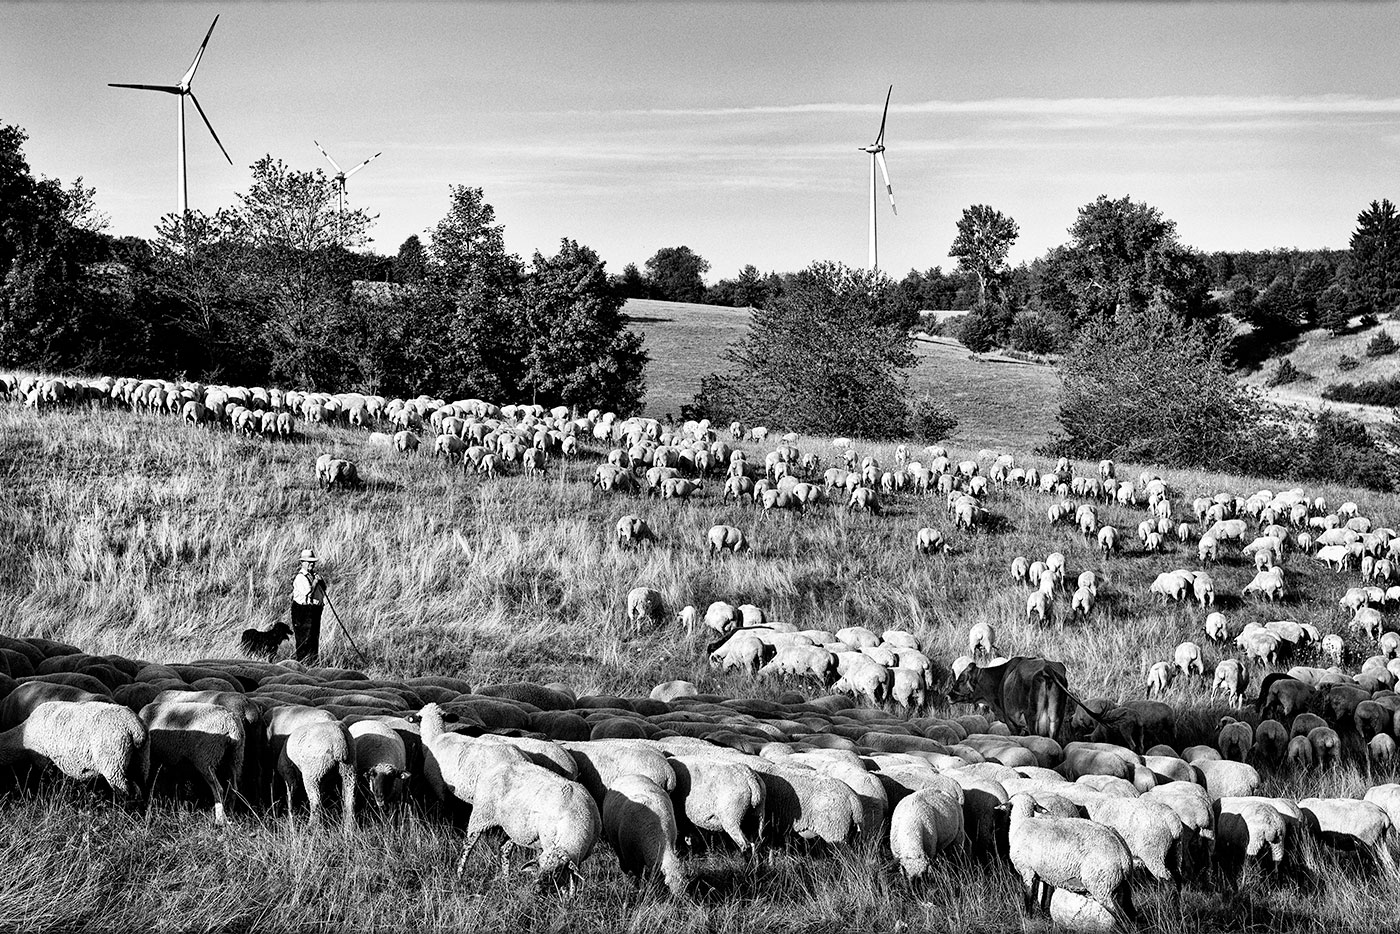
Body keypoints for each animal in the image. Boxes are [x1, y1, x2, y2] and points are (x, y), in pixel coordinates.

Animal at [0, 700, 147, 795]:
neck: (22, 736)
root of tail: (135, 728)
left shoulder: (43, 760)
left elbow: (49, 781)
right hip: (140, 761)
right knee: (141, 788)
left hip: (114, 762)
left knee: (125, 791)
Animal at [952, 658, 1103, 744]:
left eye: (961, 679)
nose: (949, 695)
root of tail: (1046, 667)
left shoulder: (1012, 723)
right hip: (1056, 719)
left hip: (1032, 718)